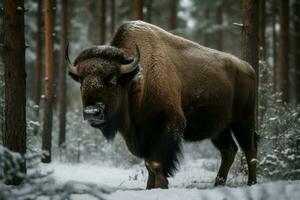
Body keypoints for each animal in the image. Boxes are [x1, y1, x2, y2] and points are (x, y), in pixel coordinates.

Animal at [67, 20, 258, 189]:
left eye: (112, 80)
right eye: (81, 81)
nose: (91, 112)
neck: (137, 79)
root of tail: (248, 68)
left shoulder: (168, 125)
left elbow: (156, 163)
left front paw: (161, 186)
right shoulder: (143, 135)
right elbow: (148, 164)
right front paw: (149, 188)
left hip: (243, 121)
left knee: (250, 150)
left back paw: (251, 183)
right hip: (219, 129)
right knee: (229, 151)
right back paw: (218, 184)